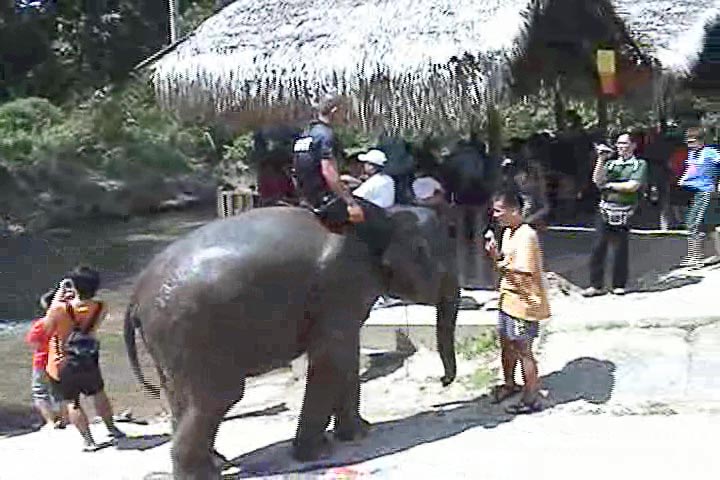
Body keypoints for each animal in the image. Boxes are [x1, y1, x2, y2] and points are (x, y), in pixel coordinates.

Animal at [124, 202, 458, 480]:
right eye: (441, 262)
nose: (442, 381)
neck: (383, 217)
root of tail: (136, 293)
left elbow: (347, 356)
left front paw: (359, 434)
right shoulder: (340, 285)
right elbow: (331, 358)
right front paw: (317, 453)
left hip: (168, 341)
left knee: (178, 395)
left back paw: (216, 461)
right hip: (193, 334)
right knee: (220, 396)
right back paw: (205, 474)